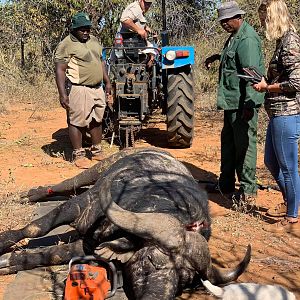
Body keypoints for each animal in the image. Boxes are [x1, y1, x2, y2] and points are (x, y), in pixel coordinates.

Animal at [0, 149, 250, 298]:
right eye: (150, 260)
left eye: (184, 282)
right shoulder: (82, 206)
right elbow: (36, 227)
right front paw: (4, 244)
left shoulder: (89, 244)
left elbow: (54, 254)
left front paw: (10, 262)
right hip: (95, 171)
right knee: (66, 185)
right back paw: (30, 194)